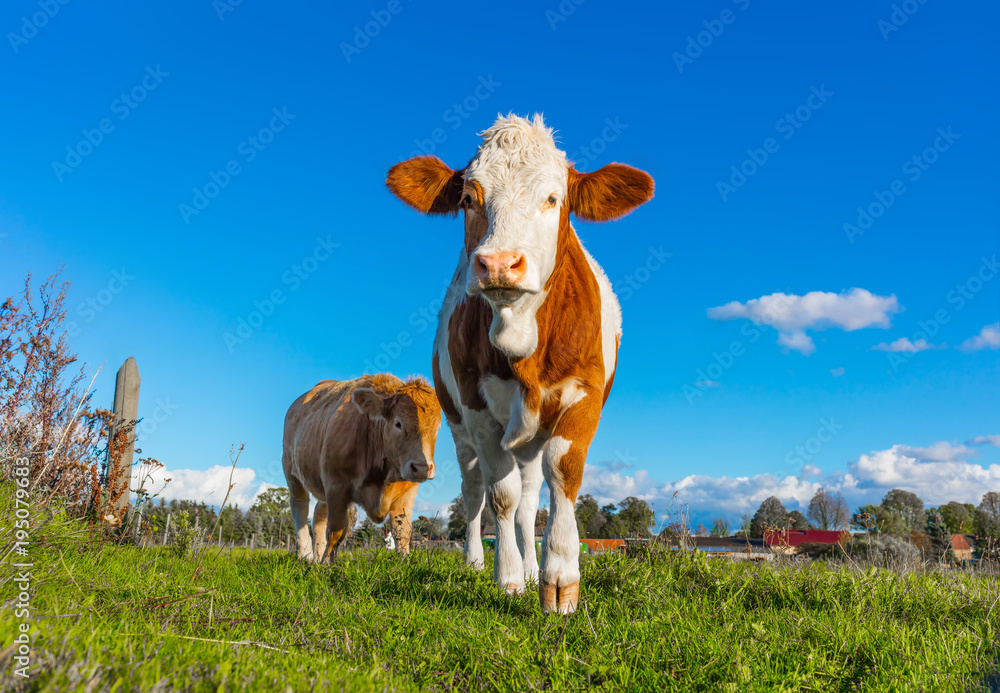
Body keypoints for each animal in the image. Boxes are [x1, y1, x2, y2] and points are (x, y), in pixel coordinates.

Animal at [282, 374, 441, 561]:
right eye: (398, 424)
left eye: (437, 428)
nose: (422, 467)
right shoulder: (336, 486)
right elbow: (335, 531)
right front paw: (328, 563)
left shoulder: (408, 490)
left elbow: (402, 531)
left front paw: (404, 561)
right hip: (291, 471)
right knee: (299, 506)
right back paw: (305, 554)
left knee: (319, 514)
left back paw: (317, 557)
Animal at [385, 114, 654, 613]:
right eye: (469, 198)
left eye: (553, 198)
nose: (498, 263)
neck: (519, 330)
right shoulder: (475, 408)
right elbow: (500, 496)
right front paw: (508, 577)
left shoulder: (585, 396)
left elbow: (561, 476)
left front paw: (558, 580)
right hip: (459, 426)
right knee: (476, 494)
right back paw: (477, 561)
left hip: (533, 433)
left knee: (532, 497)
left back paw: (533, 568)